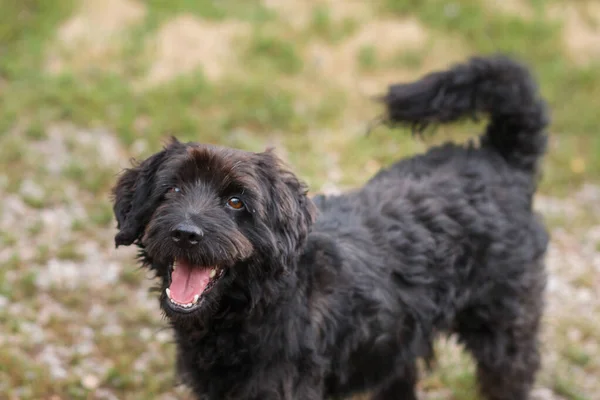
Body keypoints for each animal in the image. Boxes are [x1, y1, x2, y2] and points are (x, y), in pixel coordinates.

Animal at [111, 54, 548, 398]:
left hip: (506, 332)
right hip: (396, 346)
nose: (185, 233)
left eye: (236, 202)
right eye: (172, 189)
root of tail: (500, 157)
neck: (260, 301)